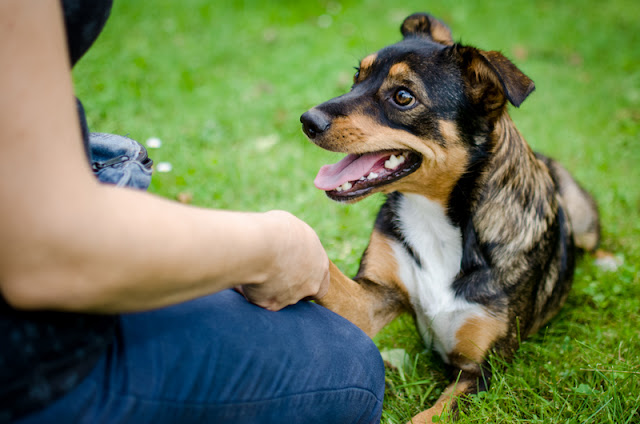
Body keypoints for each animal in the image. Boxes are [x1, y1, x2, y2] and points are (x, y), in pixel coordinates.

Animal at [300, 11, 600, 422]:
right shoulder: (371, 300)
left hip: (582, 216)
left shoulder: (481, 372)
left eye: (403, 96)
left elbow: (426, 417)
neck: (437, 218)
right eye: (357, 76)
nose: (306, 120)